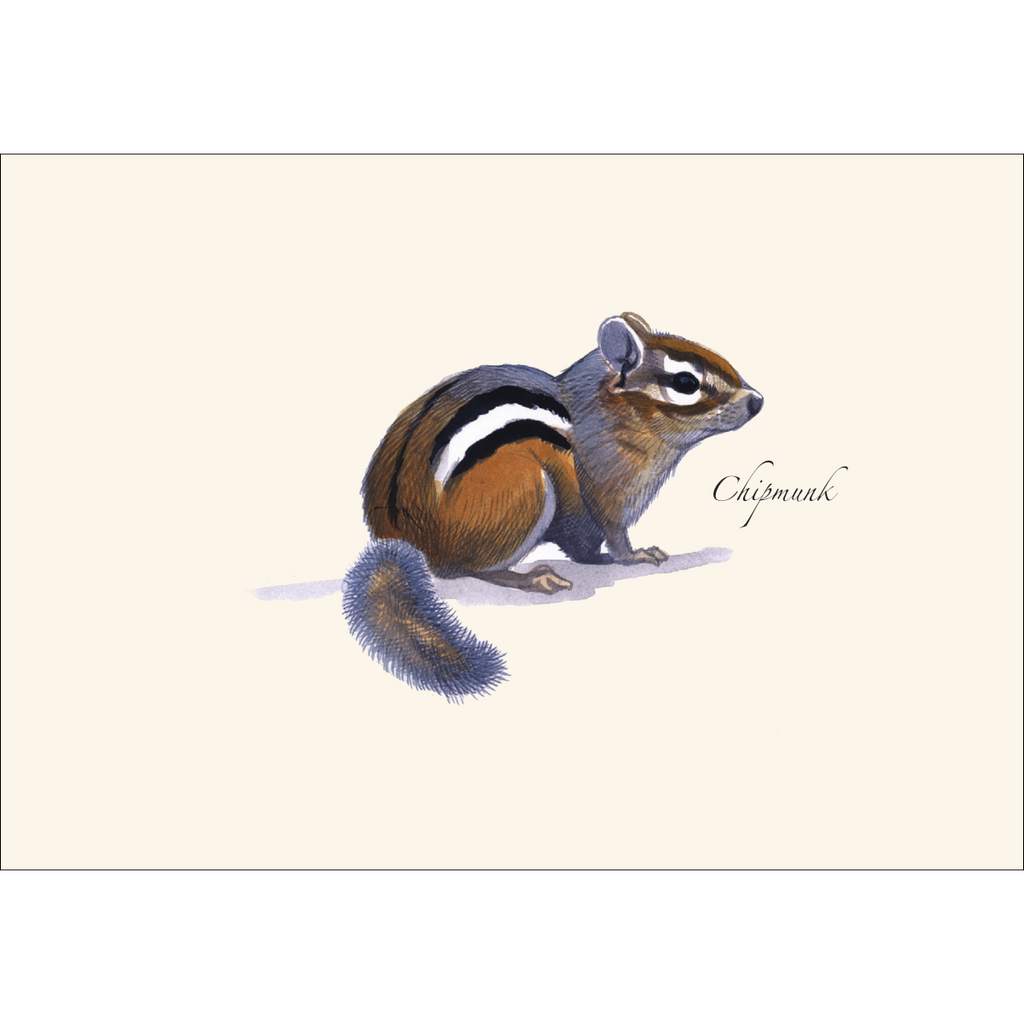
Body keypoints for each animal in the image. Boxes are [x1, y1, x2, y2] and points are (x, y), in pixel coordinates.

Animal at [343, 311, 763, 701]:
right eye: (686, 383)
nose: (757, 401)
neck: (613, 416)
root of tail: (405, 540)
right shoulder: (605, 491)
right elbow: (609, 537)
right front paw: (634, 556)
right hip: (524, 487)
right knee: (463, 568)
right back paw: (532, 578)